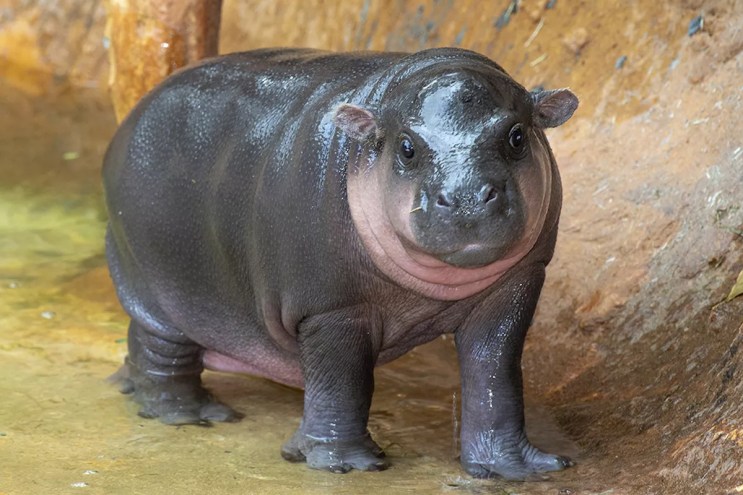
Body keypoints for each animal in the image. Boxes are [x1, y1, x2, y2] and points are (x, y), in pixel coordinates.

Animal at [103, 47, 578, 480]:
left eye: (517, 136)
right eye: (407, 147)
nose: (466, 199)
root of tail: (133, 116)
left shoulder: (516, 285)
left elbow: (495, 375)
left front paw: (516, 468)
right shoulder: (333, 308)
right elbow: (342, 382)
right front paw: (346, 464)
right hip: (161, 293)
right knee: (161, 351)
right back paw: (192, 414)